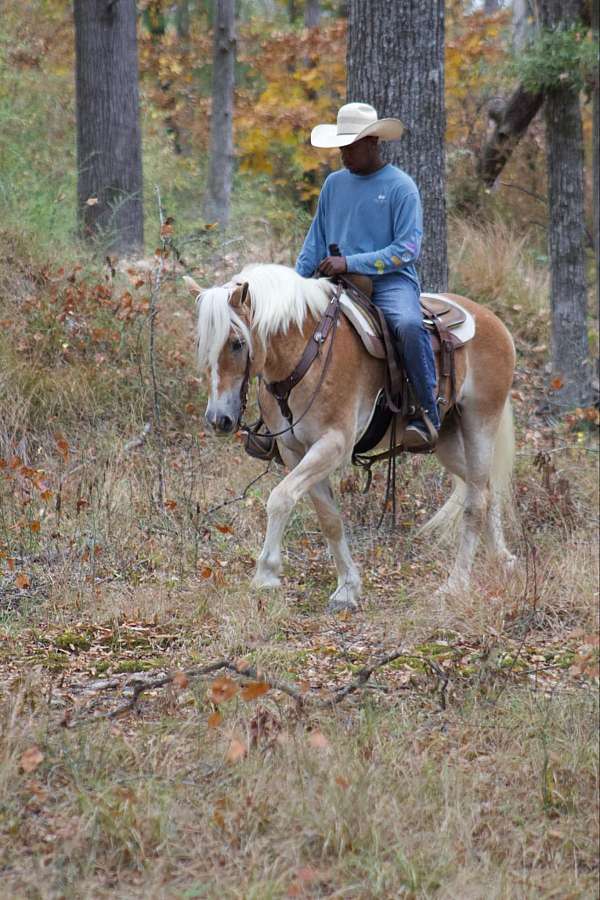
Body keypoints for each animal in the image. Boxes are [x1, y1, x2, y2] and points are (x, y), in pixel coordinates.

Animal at [184, 262, 516, 612]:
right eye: (203, 344)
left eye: (236, 343)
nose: (218, 419)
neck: (305, 352)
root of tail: (492, 320)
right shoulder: (295, 451)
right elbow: (329, 518)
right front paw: (347, 587)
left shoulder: (333, 444)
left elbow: (280, 498)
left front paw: (266, 574)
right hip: (447, 440)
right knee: (486, 488)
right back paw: (502, 559)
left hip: (480, 422)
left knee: (475, 503)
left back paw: (455, 584)